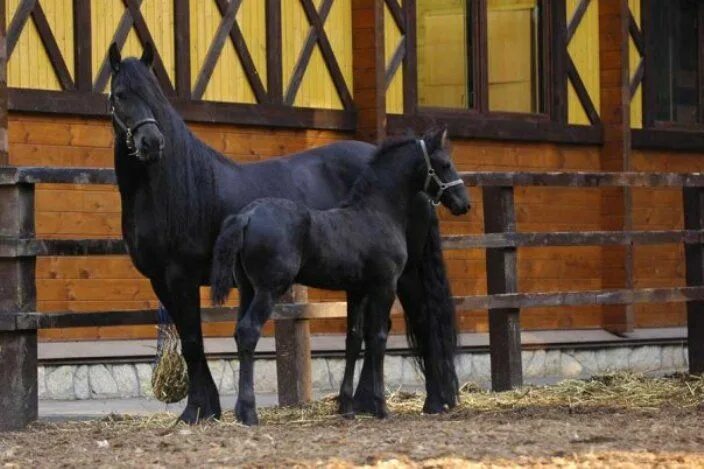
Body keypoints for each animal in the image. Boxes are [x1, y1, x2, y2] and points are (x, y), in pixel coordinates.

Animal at [212, 129, 470, 424]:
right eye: (445, 164)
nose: (464, 203)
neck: (376, 212)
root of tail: (246, 215)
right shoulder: (384, 286)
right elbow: (378, 338)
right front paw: (381, 406)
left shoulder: (356, 291)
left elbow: (353, 339)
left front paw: (347, 406)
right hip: (268, 290)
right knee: (248, 331)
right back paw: (249, 412)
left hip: (247, 290)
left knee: (239, 332)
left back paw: (241, 411)